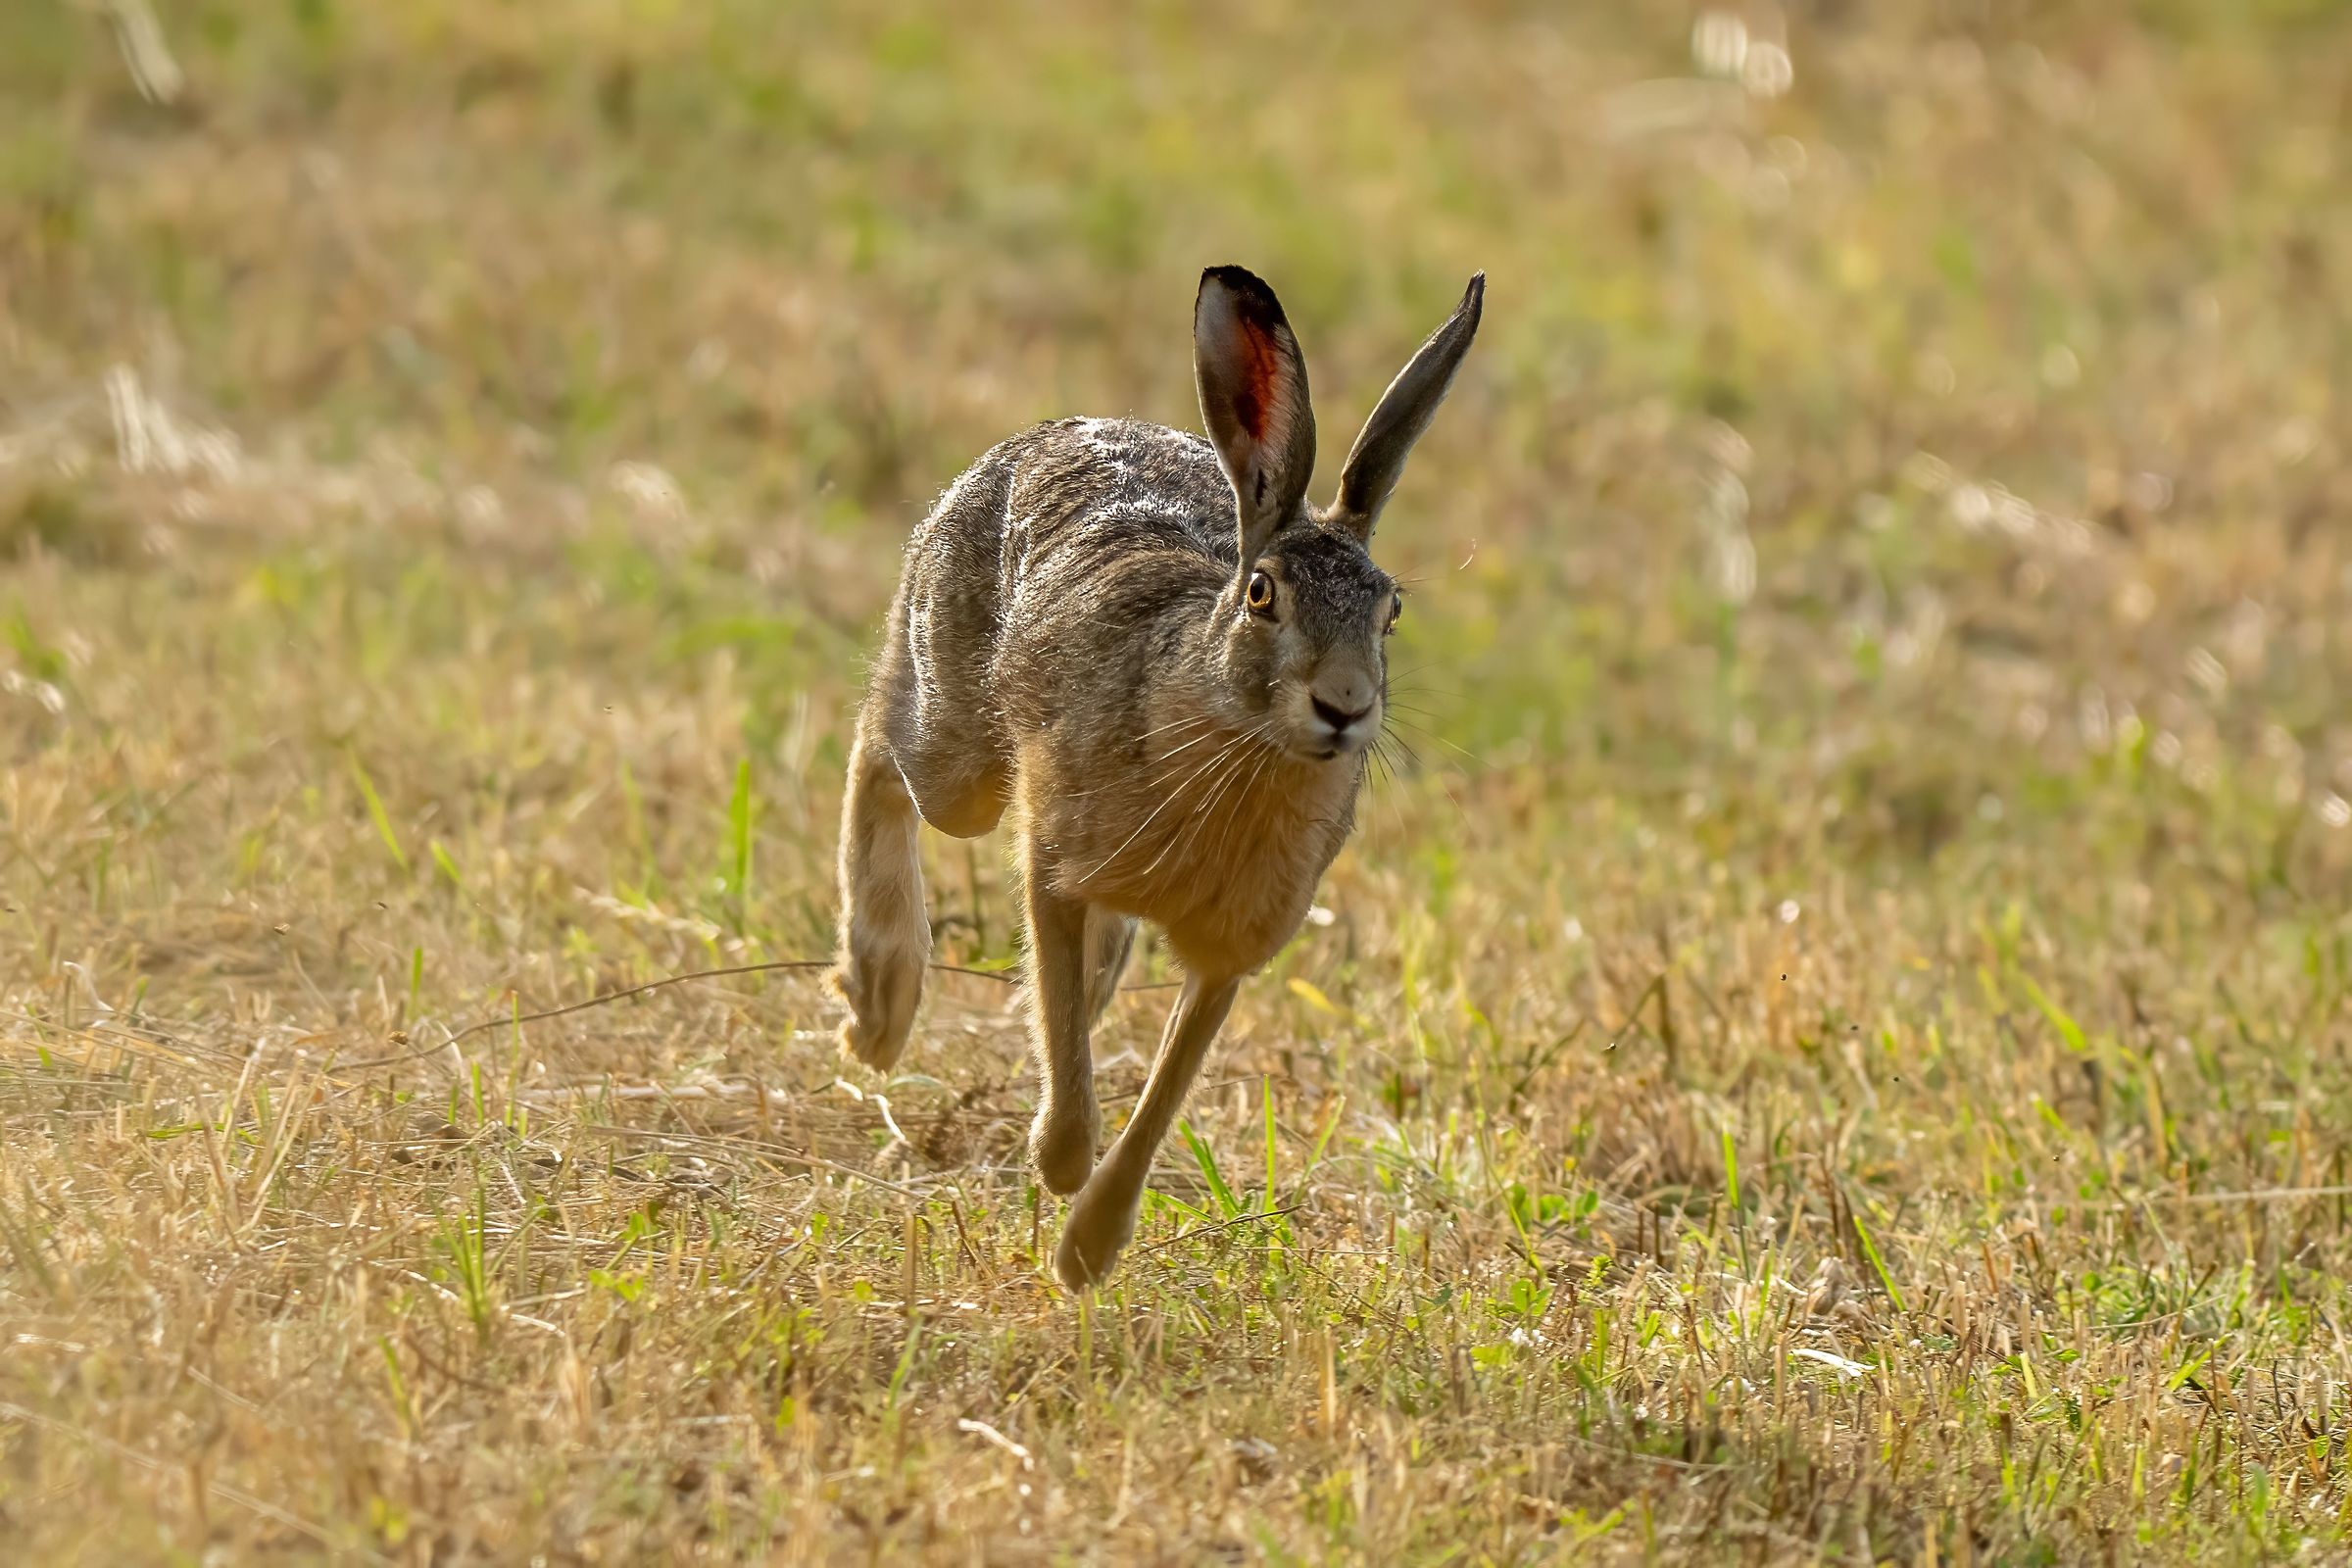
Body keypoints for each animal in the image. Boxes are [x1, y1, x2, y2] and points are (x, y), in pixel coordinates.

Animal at [830, 264, 1483, 1288]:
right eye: (1261, 594)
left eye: (1392, 612)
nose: (1343, 706)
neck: (1234, 730)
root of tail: (1041, 435)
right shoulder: (1055, 864)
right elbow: (1064, 1044)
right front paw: (1059, 1169)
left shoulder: (1229, 954)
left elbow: (1165, 1090)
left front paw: (1087, 1250)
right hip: (960, 756)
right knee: (880, 753)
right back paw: (879, 1004)